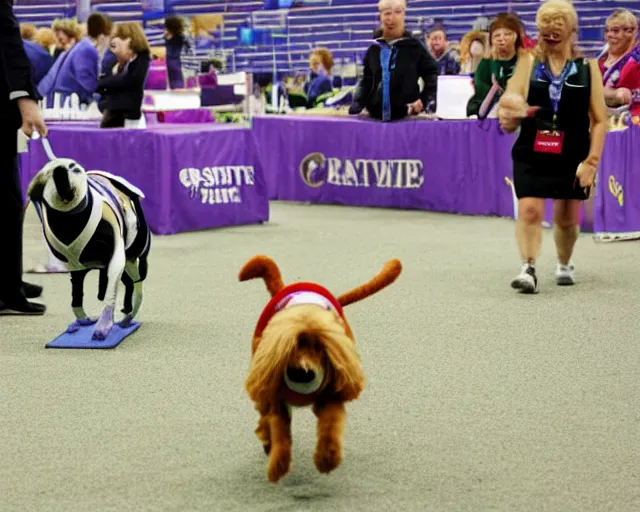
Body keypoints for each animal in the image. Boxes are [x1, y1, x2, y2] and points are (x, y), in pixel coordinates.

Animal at [28, 158, 152, 338]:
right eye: (47, 173)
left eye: (75, 168)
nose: (60, 172)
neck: (70, 219)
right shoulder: (75, 267)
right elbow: (76, 298)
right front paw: (82, 320)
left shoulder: (116, 258)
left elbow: (110, 291)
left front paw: (104, 325)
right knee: (129, 283)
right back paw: (126, 312)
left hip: (132, 257)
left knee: (136, 283)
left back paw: (129, 315)